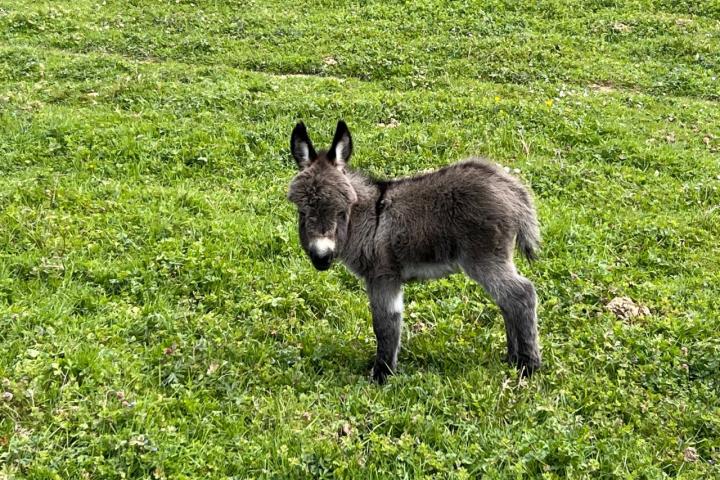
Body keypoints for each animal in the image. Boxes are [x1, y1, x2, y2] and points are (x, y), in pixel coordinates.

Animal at [286, 122, 540, 384]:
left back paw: (528, 366)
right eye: (302, 212)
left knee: (522, 294)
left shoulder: (383, 276)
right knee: (507, 301)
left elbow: (385, 324)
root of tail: (511, 188)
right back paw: (512, 359)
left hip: (484, 258)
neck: (369, 218)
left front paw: (381, 375)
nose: (321, 257)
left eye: (341, 211)